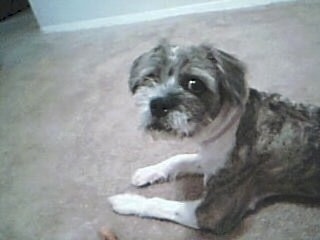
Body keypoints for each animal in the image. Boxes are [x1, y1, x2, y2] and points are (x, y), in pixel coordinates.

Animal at [108, 41, 320, 234]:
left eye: (194, 84)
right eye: (150, 77)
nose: (158, 104)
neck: (229, 125)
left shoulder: (213, 212)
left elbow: (163, 204)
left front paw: (128, 201)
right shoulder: (210, 161)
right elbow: (179, 159)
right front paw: (148, 171)